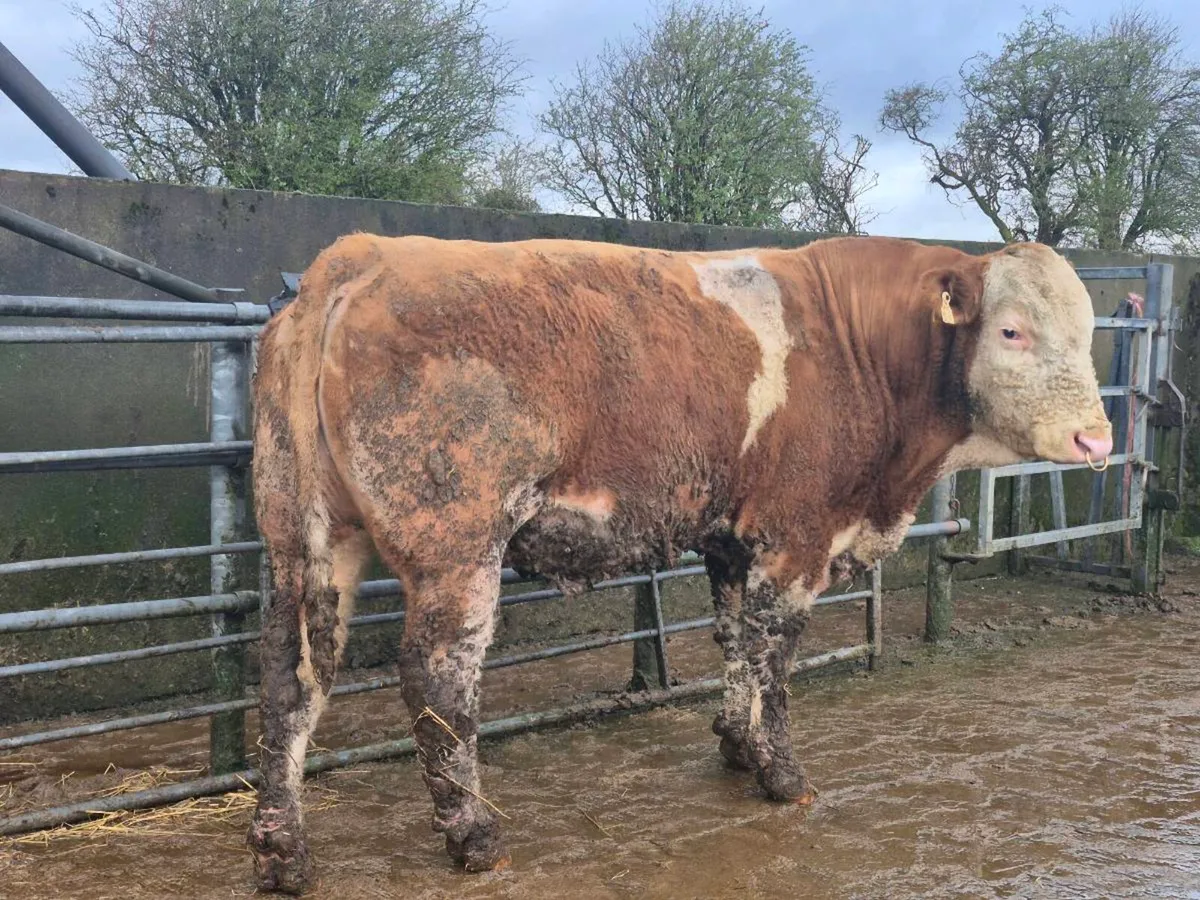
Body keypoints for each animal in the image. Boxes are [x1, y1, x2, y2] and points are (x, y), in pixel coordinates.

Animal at [245, 233, 1113, 893]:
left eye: (1087, 333)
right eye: (1012, 331)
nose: (1096, 439)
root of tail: (363, 255)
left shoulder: (731, 540)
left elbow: (732, 643)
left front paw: (734, 743)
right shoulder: (796, 536)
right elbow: (773, 660)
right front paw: (780, 773)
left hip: (303, 539)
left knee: (291, 676)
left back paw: (284, 850)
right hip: (455, 548)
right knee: (437, 683)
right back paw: (475, 835)